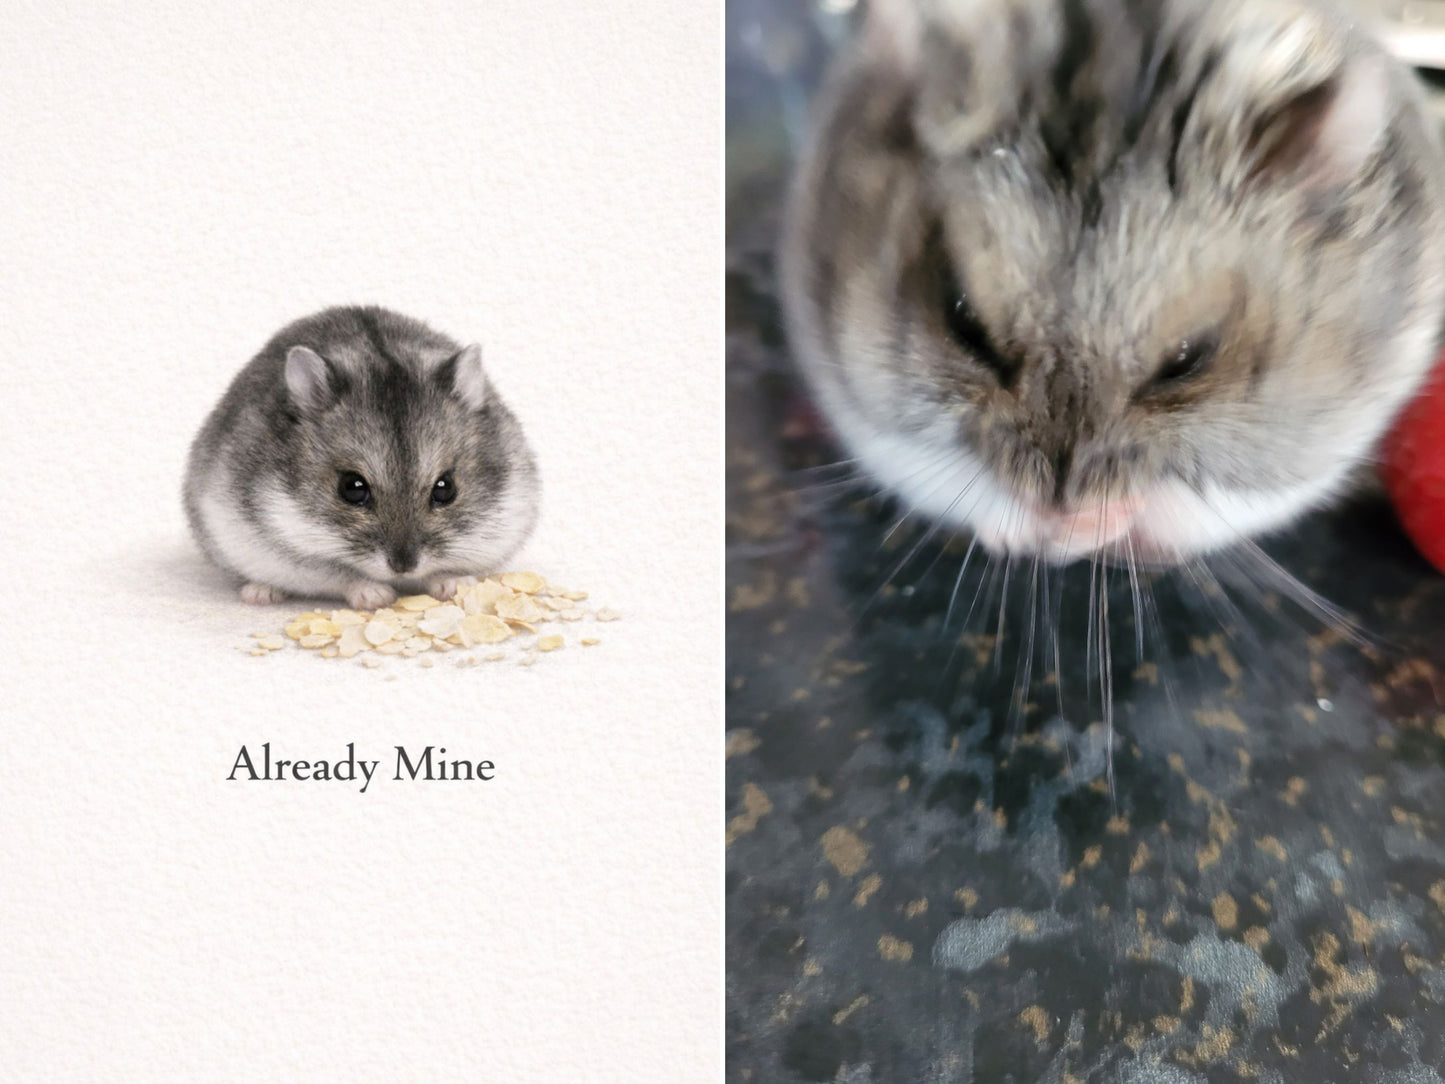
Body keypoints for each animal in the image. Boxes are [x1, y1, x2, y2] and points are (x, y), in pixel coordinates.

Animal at [184, 306, 540, 609]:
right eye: (352, 488)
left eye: (445, 488)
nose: (403, 567)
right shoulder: (289, 554)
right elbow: (340, 575)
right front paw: (377, 597)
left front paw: (456, 586)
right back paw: (260, 594)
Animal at [780, 0, 1445, 565]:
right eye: (964, 322)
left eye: (1189, 359)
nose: (1060, 504)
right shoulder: (874, 421)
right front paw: (1047, 531)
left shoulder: (1301, 456)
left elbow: (1187, 501)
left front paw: (1096, 526)